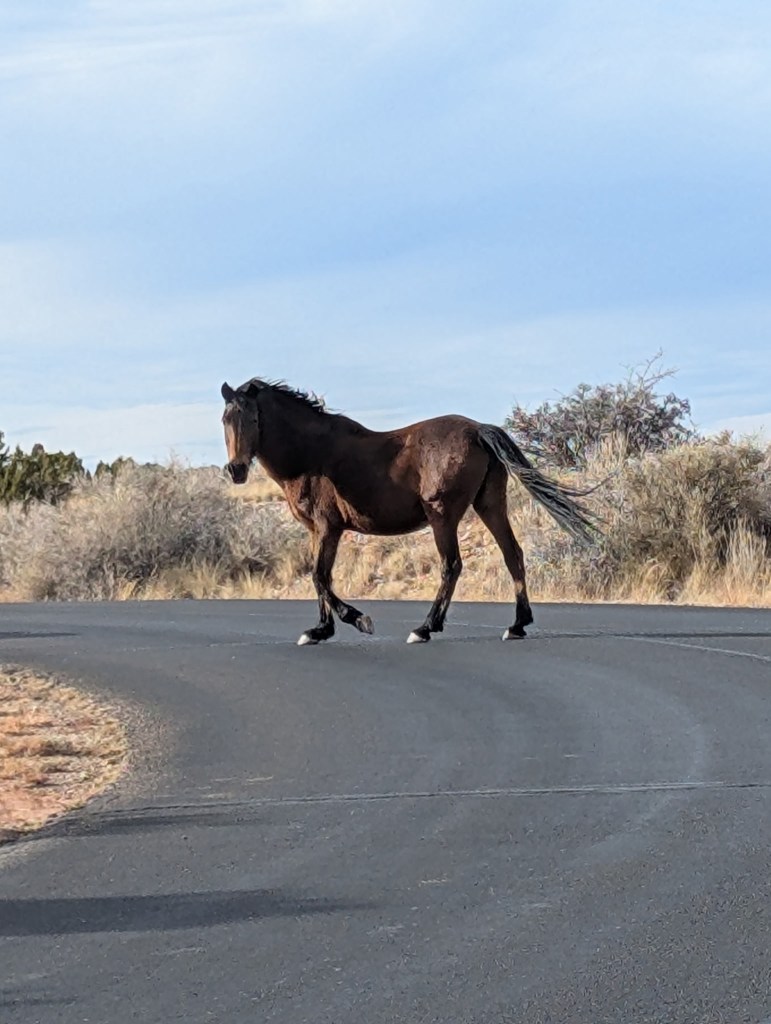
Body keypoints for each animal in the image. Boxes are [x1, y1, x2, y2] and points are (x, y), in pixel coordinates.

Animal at [221, 378, 598, 646]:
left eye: (253, 417)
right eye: (225, 418)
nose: (236, 470)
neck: (311, 455)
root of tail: (478, 430)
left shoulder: (329, 528)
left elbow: (319, 577)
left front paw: (358, 620)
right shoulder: (317, 531)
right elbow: (320, 578)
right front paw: (320, 630)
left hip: (442, 515)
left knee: (452, 565)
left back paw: (425, 627)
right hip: (490, 505)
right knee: (513, 555)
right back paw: (517, 625)